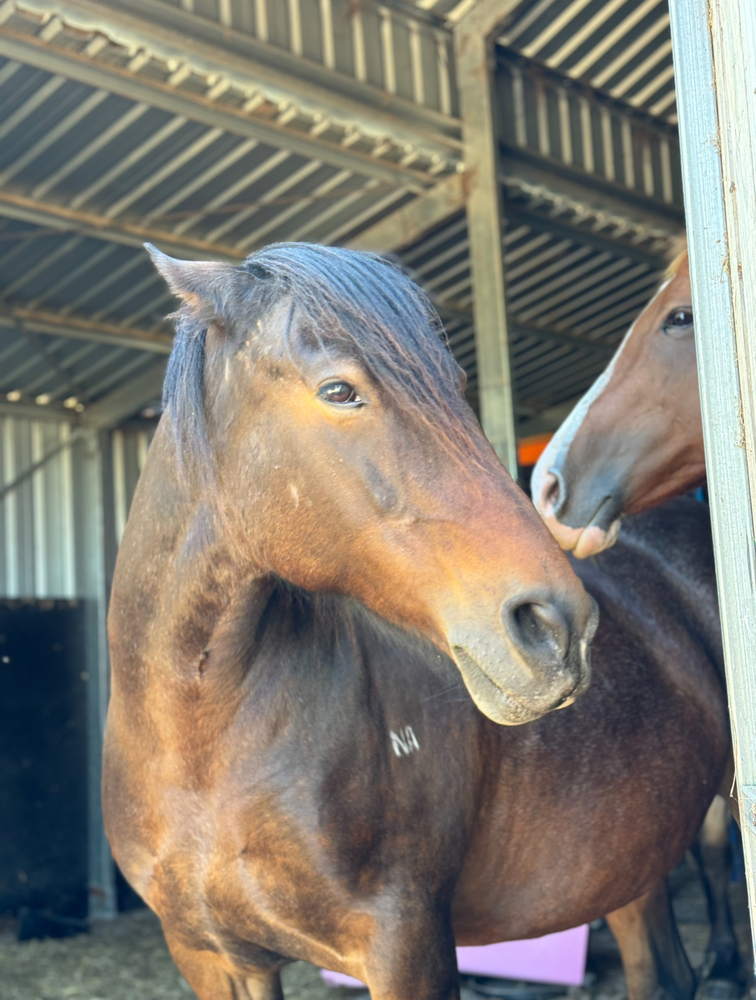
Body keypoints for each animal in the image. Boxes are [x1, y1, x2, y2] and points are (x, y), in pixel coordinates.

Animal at [105, 243, 730, 1000]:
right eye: (339, 391)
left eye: (454, 383)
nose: (560, 627)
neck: (199, 750)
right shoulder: (216, 960)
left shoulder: (406, 945)